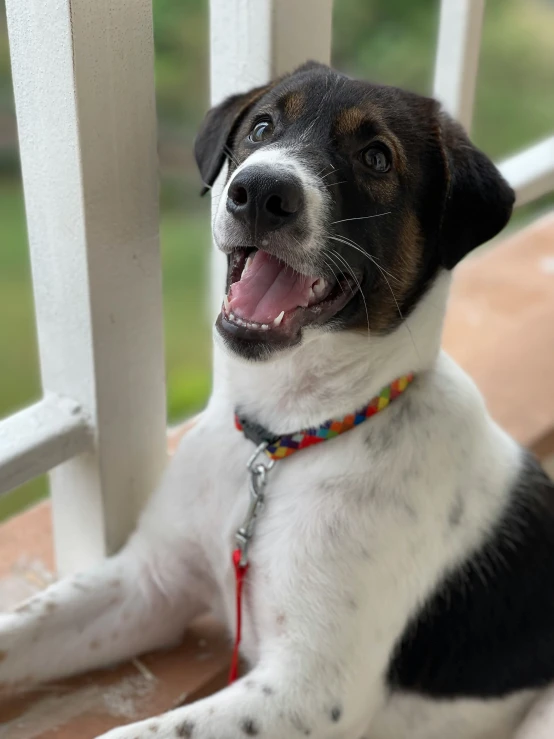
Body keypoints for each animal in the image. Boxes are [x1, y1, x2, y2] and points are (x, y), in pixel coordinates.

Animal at [1, 63, 552, 739]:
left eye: (376, 157)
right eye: (262, 127)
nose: (260, 191)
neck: (286, 436)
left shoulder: (307, 695)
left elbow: (127, 733)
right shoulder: (149, 583)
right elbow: (21, 629)